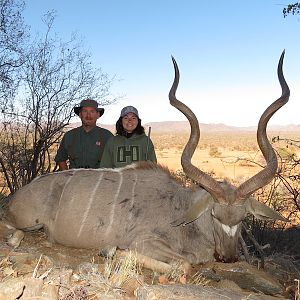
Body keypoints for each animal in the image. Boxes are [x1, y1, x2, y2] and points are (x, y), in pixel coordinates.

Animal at [2, 51, 288, 272]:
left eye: (242, 218)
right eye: (214, 215)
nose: (228, 257)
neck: (181, 208)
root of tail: (20, 193)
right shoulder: (144, 240)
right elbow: (182, 264)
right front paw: (113, 252)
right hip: (27, 220)